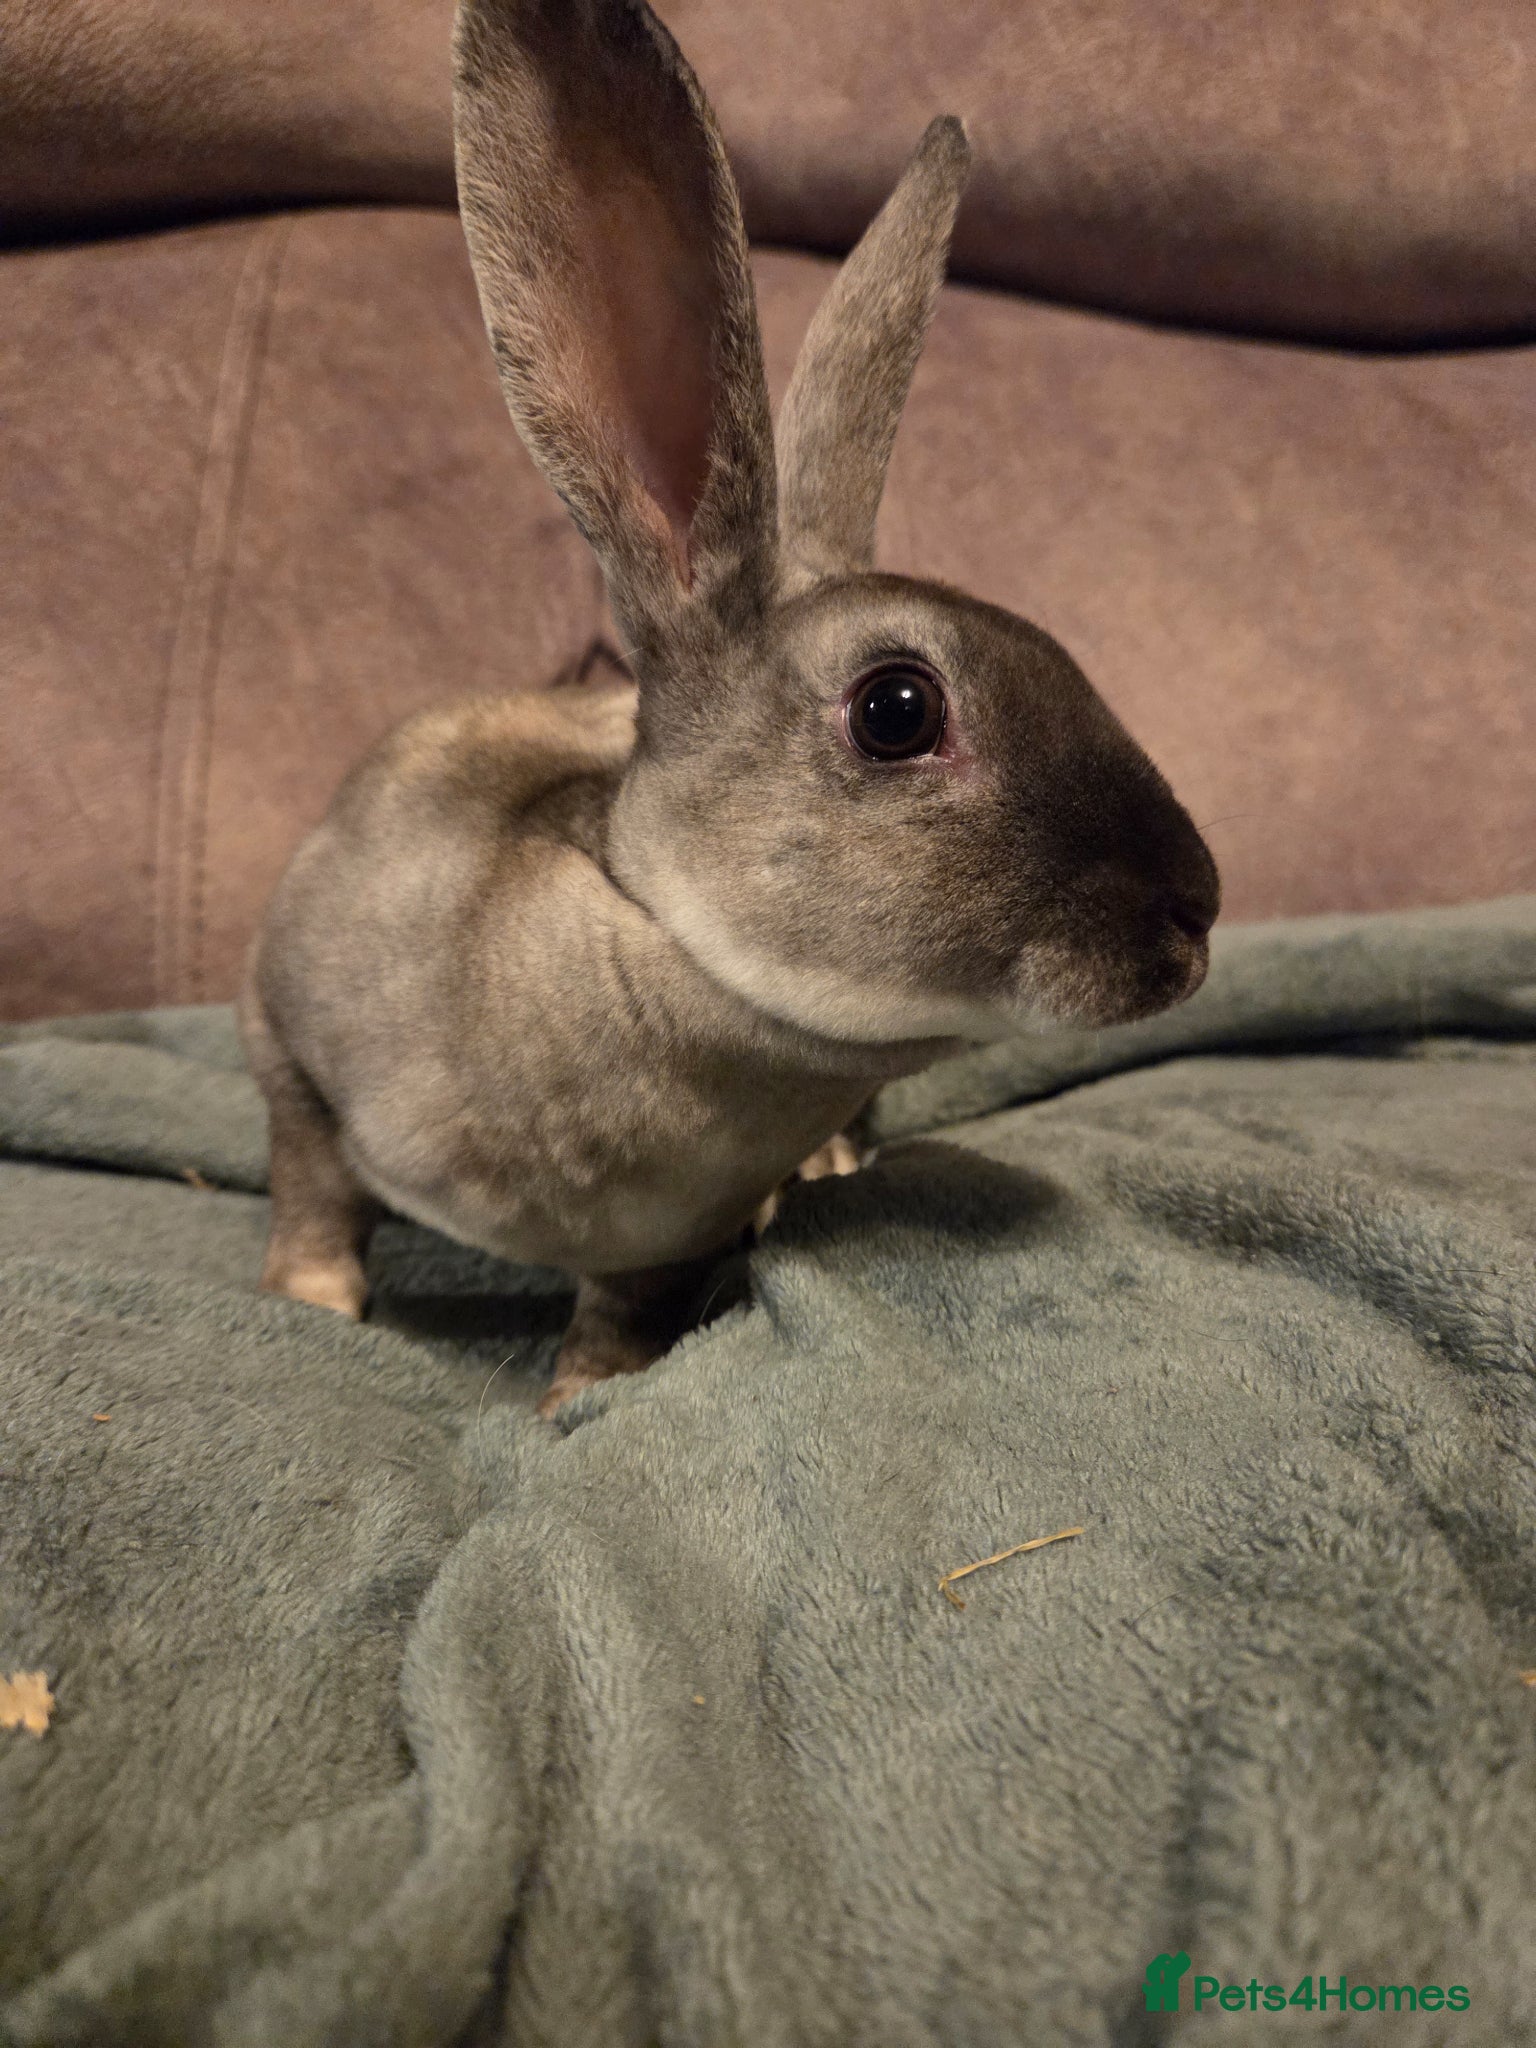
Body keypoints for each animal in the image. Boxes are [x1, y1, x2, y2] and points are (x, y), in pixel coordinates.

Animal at [240, 0, 1220, 1416]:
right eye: (898, 708)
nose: (1194, 915)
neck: (661, 943)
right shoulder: (286, 1040)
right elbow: (311, 1187)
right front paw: (309, 1303)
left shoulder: (663, 1238)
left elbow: (624, 1306)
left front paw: (577, 1397)